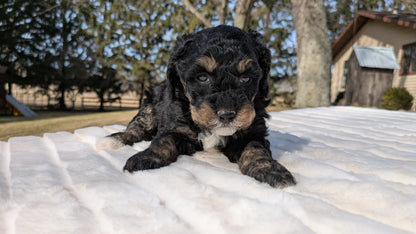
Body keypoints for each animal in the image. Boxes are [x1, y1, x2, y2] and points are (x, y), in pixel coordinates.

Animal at [107, 24, 296, 187]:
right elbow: (162, 141)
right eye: (203, 78)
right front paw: (145, 158)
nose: (226, 115)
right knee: (137, 126)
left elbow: (255, 147)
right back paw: (115, 140)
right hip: (149, 104)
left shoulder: (253, 131)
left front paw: (270, 170)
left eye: (246, 78)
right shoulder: (175, 126)